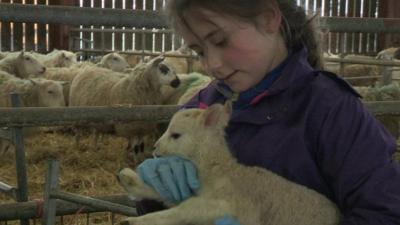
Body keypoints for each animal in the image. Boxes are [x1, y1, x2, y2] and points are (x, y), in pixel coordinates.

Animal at [117, 103, 342, 225]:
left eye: (176, 135)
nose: (155, 147)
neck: (220, 171)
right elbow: (166, 193)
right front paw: (130, 179)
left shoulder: (228, 205)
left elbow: (184, 209)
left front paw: (134, 221)